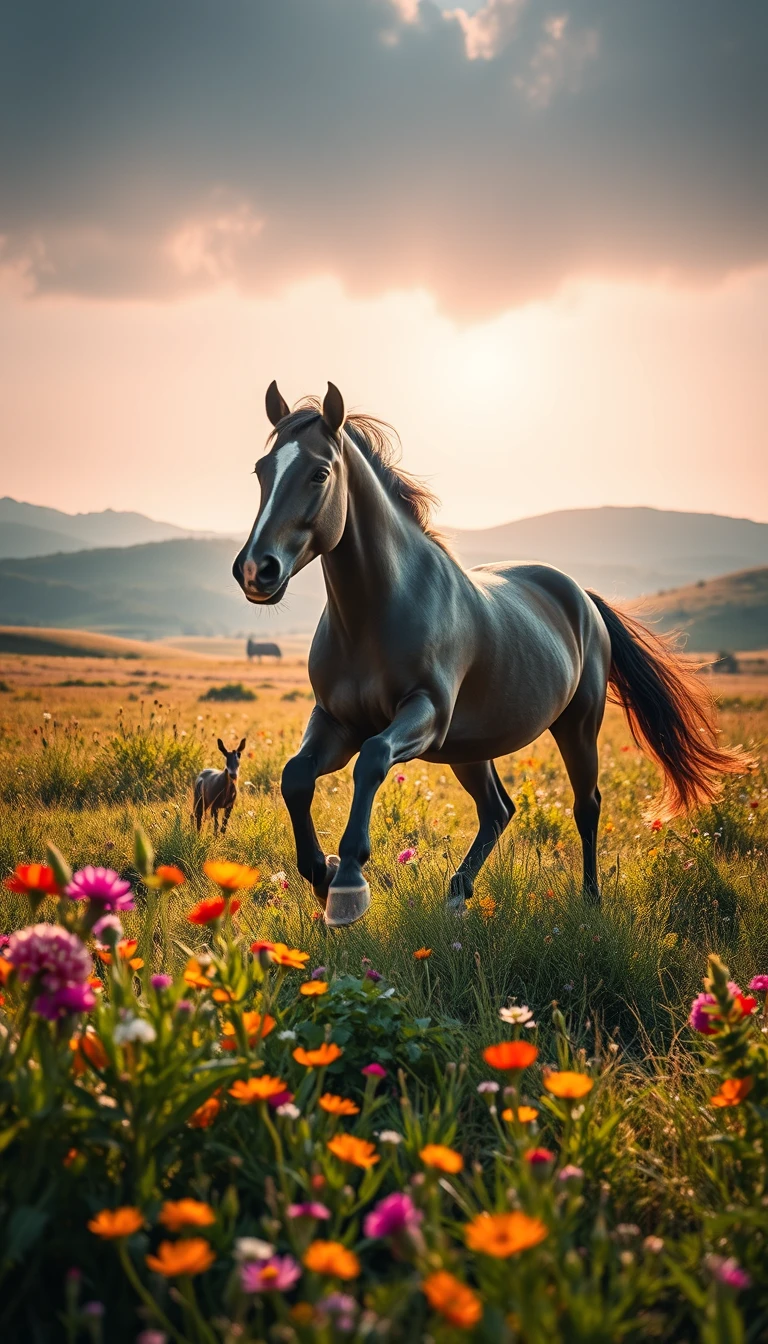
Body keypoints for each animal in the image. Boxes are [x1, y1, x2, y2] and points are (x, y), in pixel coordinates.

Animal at [232, 381, 749, 927]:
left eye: (319, 472)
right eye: (262, 470)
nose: (256, 570)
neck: (376, 614)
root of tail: (582, 597)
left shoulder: (424, 715)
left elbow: (371, 761)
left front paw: (347, 879)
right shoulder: (336, 721)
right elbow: (295, 777)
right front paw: (322, 875)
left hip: (576, 726)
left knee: (585, 806)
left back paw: (589, 900)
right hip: (470, 749)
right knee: (497, 810)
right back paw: (457, 893)